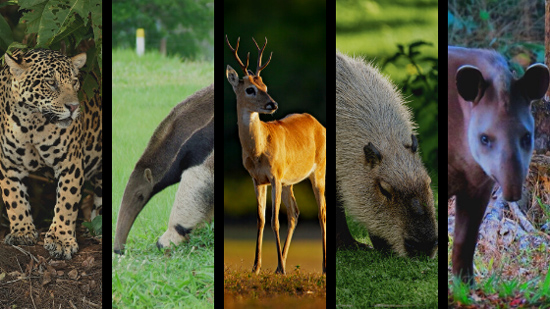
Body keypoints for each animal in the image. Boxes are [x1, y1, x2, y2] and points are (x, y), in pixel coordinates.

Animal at [225, 35, 326, 274]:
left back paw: (321, 266)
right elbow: (261, 219)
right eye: (250, 89)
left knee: (321, 212)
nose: (273, 104)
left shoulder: (275, 176)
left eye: (265, 86)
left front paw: (275, 265)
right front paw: (256, 266)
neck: (258, 150)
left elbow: (274, 220)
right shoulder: (257, 179)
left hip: (318, 171)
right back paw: (282, 265)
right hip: (290, 181)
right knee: (295, 213)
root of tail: (320, 124)